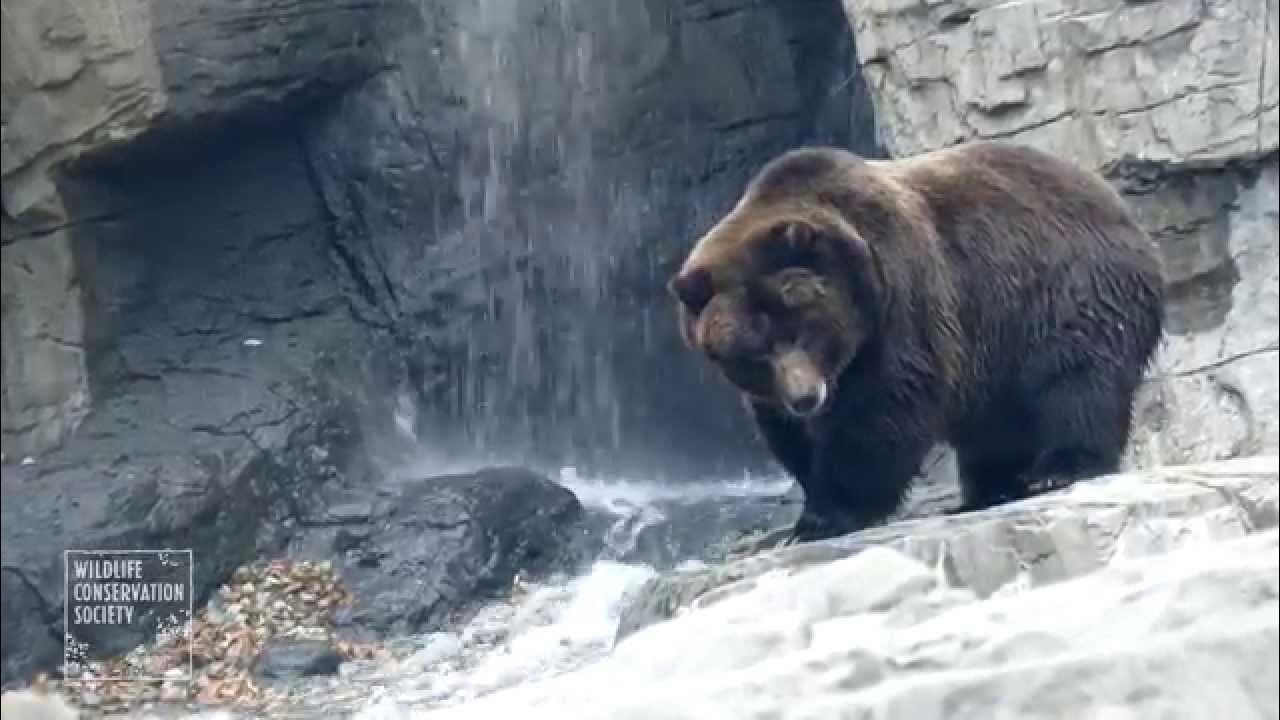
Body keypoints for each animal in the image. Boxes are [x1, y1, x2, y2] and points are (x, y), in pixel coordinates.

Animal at [675, 140, 1167, 540]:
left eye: (804, 330)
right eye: (754, 353)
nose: (805, 397)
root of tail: (1111, 198)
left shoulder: (902, 296)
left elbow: (885, 404)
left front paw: (829, 513)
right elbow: (788, 432)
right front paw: (812, 499)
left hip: (1066, 287)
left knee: (1077, 378)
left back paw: (1059, 467)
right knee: (995, 422)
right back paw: (990, 488)